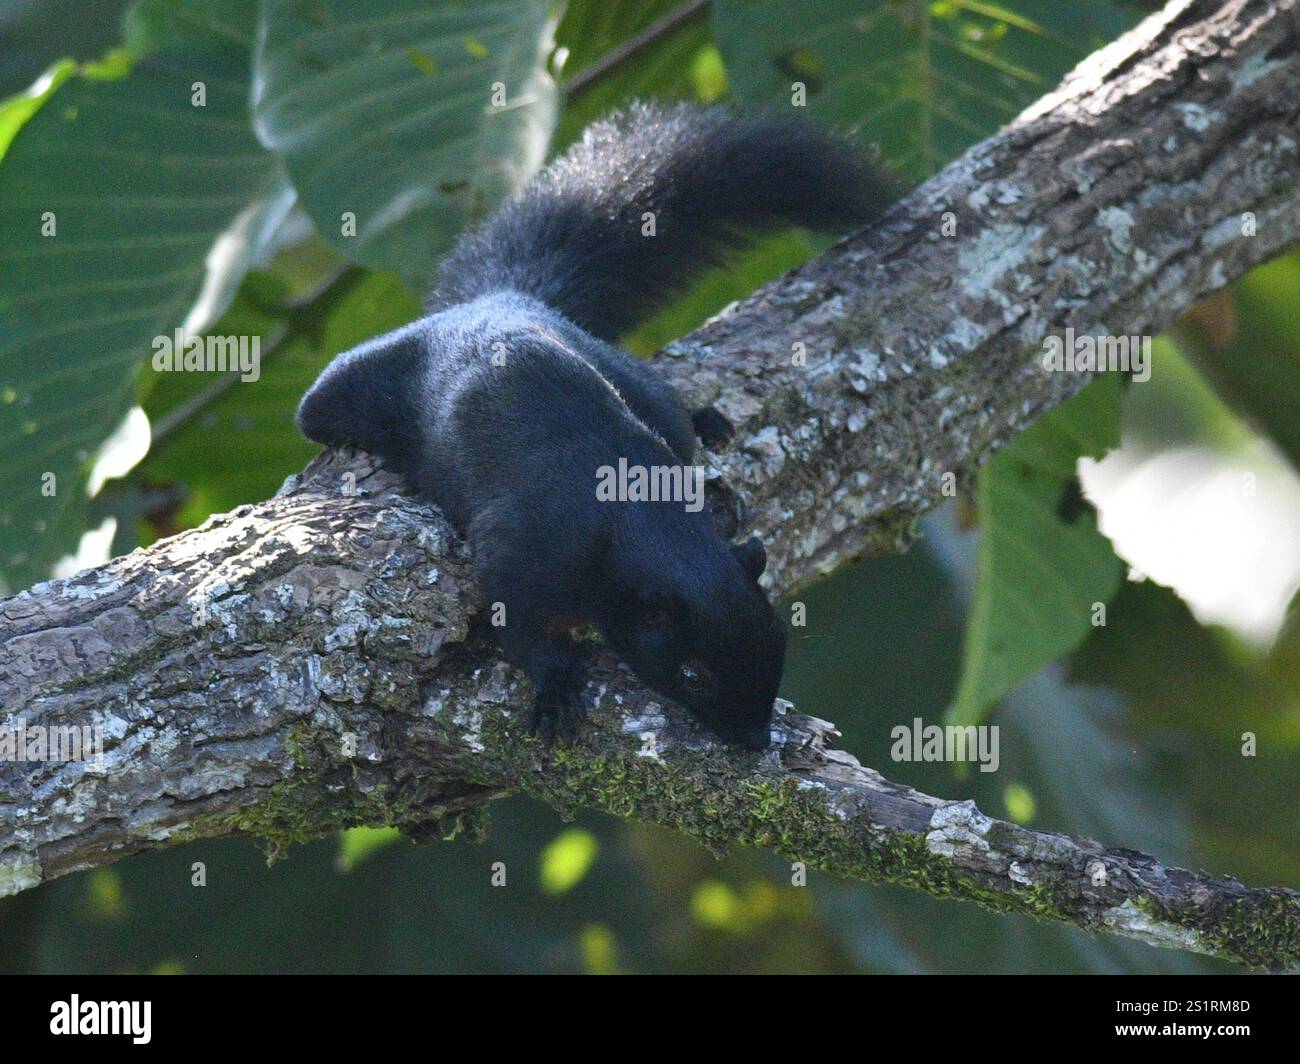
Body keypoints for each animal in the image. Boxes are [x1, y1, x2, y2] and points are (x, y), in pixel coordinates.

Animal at [297, 102, 892, 749]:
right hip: (363, 384)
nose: (753, 739)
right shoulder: (530, 548)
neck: (640, 521)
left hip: (633, 381)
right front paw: (555, 685)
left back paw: (704, 418)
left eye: (779, 639)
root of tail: (502, 299)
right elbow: (516, 623)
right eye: (692, 673)